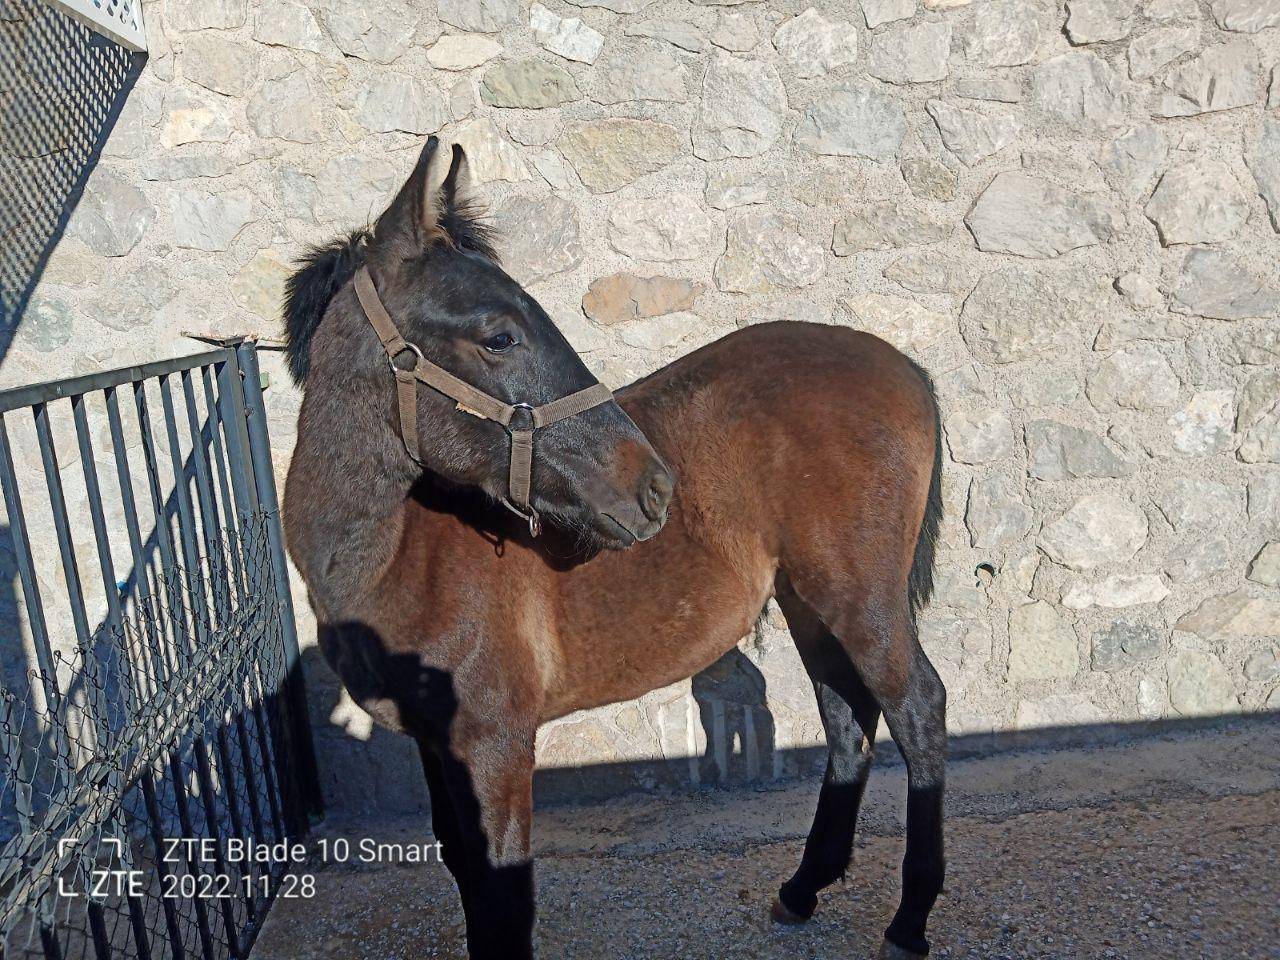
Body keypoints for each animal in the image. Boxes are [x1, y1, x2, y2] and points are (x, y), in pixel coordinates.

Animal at [281, 136, 947, 960]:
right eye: (498, 335)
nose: (653, 487)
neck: (397, 558)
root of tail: (905, 367)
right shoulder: (440, 747)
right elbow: (467, 875)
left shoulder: (496, 745)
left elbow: (503, 902)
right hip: (807, 600)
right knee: (848, 716)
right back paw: (802, 889)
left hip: (859, 599)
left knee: (915, 708)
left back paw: (908, 922)